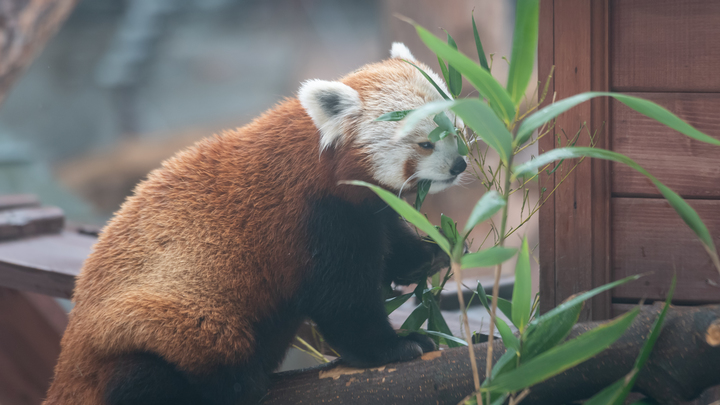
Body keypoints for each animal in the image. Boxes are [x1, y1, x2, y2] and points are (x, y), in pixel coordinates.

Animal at [43, 41, 466, 404]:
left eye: (455, 129)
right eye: (425, 143)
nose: (459, 165)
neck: (322, 163)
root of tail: (66, 366)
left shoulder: (361, 207)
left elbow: (388, 234)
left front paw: (428, 255)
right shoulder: (311, 218)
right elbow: (342, 300)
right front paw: (395, 346)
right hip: (146, 332)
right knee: (145, 374)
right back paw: (233, 385)